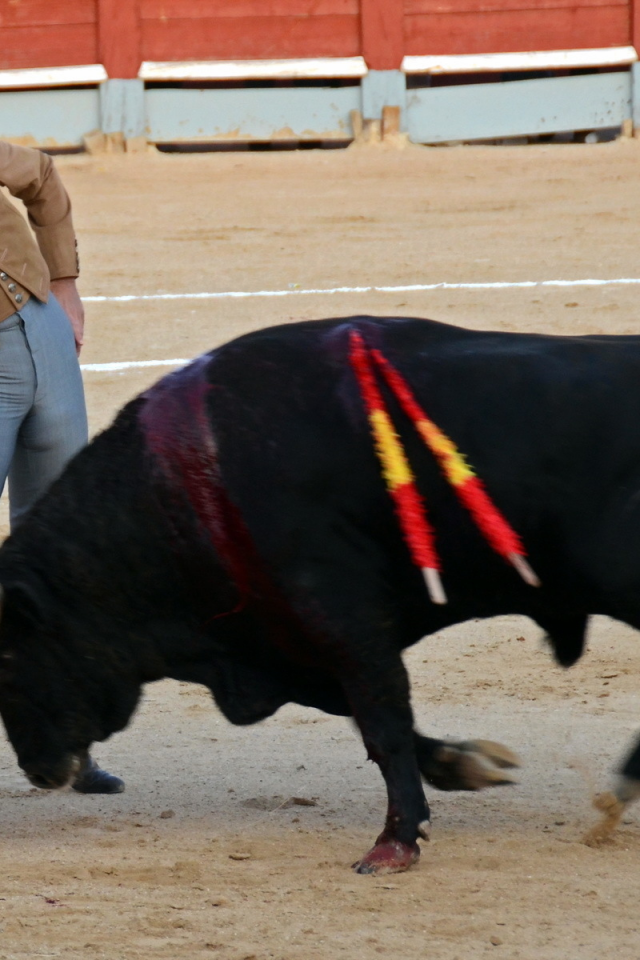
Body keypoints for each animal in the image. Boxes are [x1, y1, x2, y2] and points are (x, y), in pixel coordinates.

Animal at [1, 318, 640, 872]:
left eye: (12, 657)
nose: (37, 770)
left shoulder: (342, 619)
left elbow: (382, 721)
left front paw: (394, 844)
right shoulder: (286, 639)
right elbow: (358, 712)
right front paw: (464, 766)